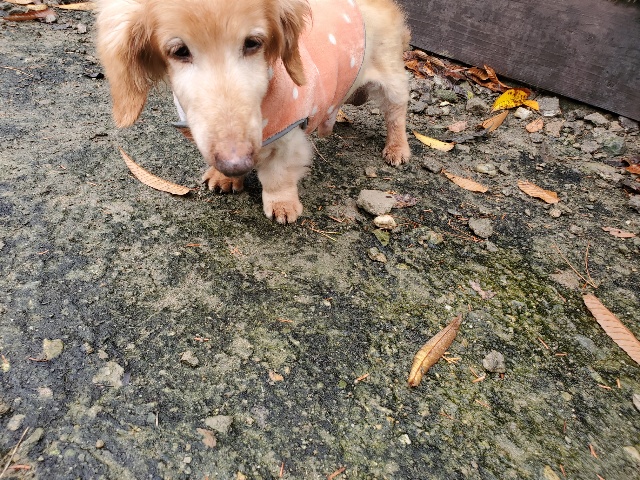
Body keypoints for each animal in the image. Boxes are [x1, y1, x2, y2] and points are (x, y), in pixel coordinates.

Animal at [97, 0, 411, 223]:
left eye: (252, 43)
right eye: (179, 51)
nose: (236, 164)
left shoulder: (289, 137)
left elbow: (278, 176)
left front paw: (282, 205)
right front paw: (224, 177)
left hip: (391, 78)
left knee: (396, 114)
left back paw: (397, 149)